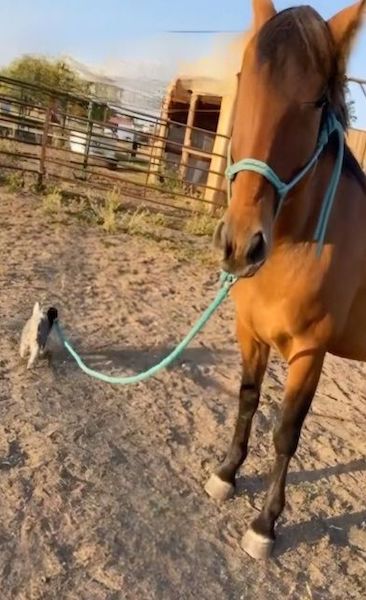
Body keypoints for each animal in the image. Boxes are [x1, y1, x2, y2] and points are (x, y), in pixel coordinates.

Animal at [206, 0, 366, 560]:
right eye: (243, 79)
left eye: (316, 100)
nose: (240, 245)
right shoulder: (250, 334)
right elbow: (247, 400)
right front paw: (226, 475)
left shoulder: (309, 353)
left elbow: (286, 433)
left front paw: (264, 525)